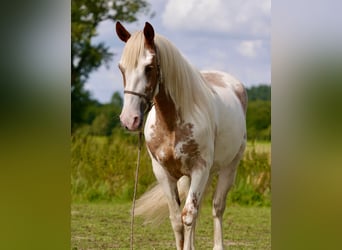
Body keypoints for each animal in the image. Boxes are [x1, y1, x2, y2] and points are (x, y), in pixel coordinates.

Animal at [116, 21, 247, 250]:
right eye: (121, 68)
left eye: (149, 67)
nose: (129, 119)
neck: (171, 125)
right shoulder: (163, 173)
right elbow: (177, 219)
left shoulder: (200, 168)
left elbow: (189, 216)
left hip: (228, 167)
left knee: (216, 207)